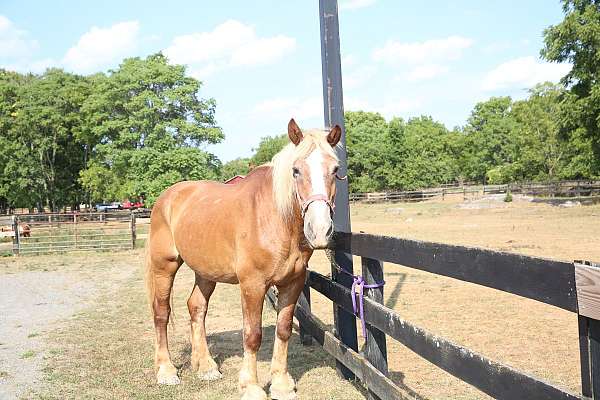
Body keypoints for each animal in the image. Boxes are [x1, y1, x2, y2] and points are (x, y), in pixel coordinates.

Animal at [146, 119, 342, 400]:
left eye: (335, 169)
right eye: (295, 170)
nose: (320, 230)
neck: (273, 219)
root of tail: (168, 196)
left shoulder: (292, 282)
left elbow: (283, 329)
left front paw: (281, 384)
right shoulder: (253, 285)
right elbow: (252, 335)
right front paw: (251, 386)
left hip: (205, 272)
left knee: (197, 308)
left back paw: (206, 367)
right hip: (165, 266)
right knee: (161, 313)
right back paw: (166, 370)